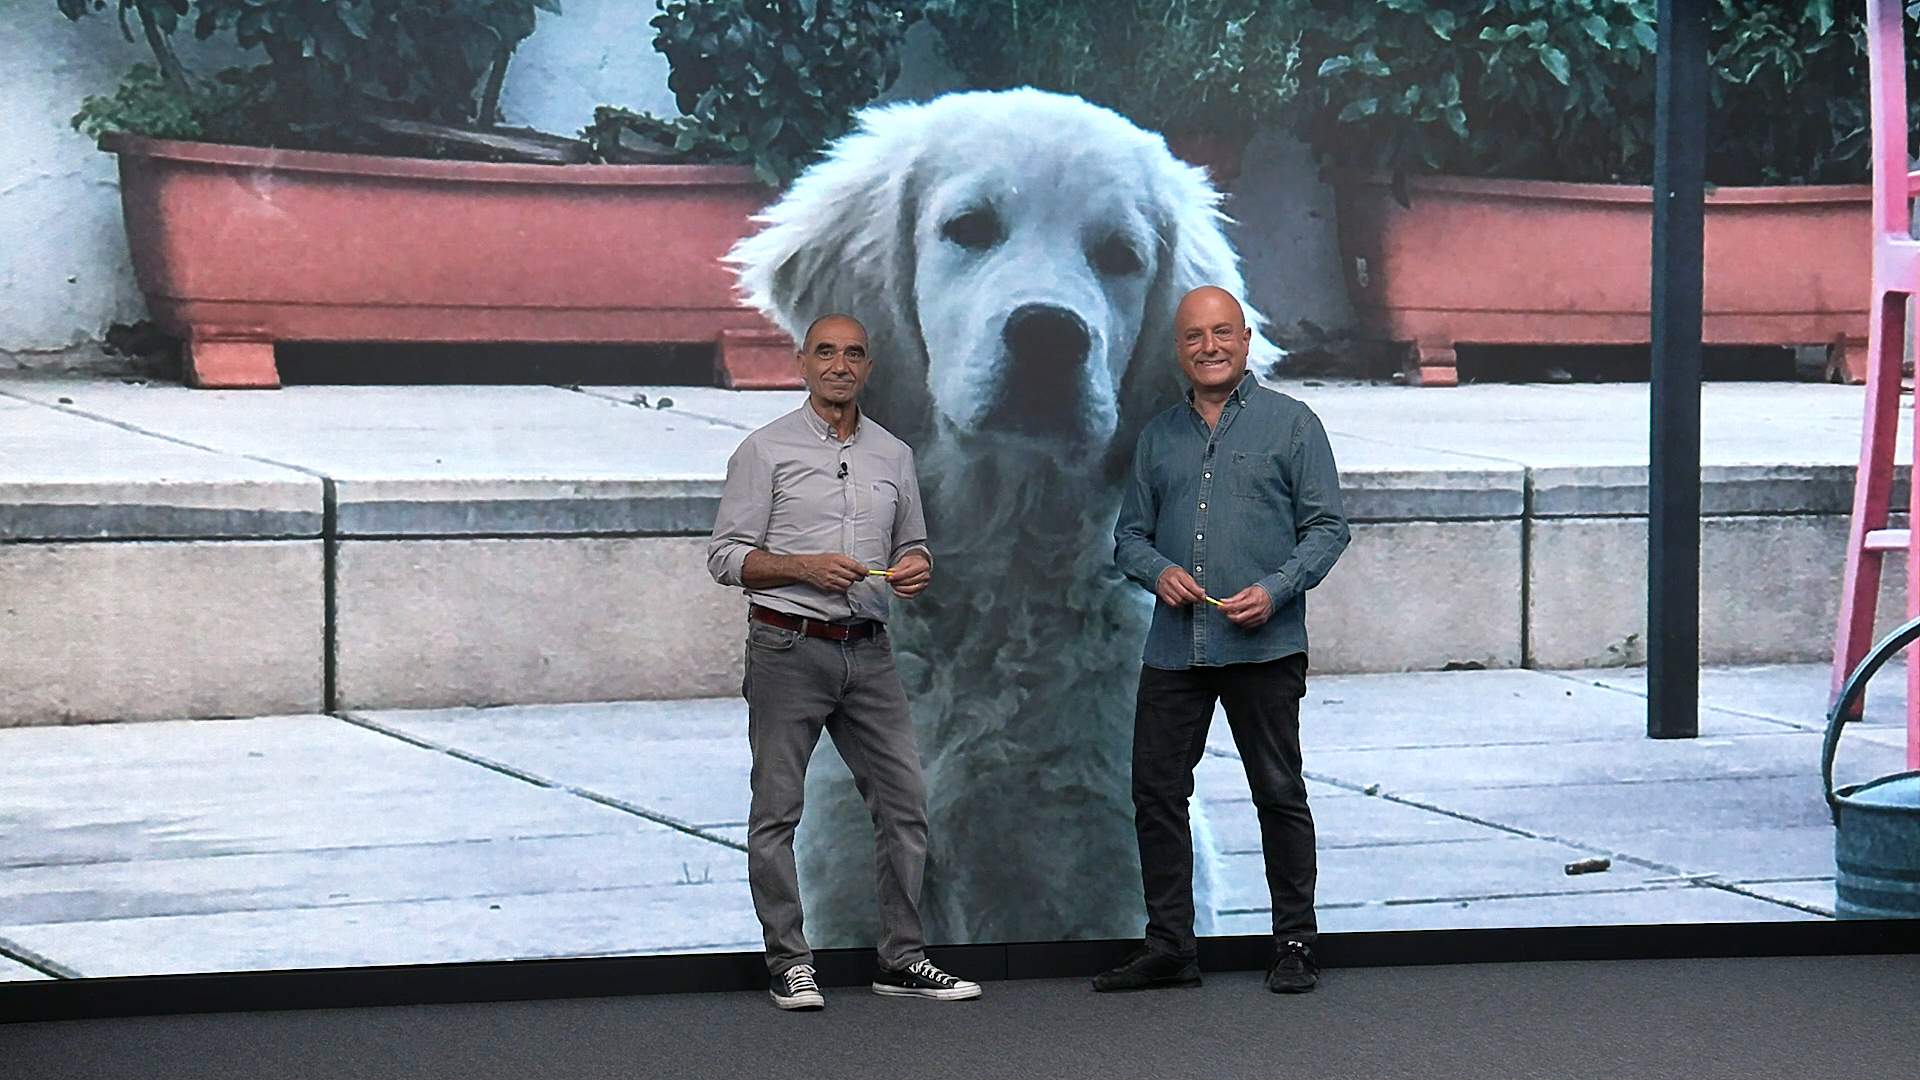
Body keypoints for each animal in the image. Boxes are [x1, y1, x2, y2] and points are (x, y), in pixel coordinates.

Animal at [721, 88, 1274, 945]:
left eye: (1119, 255)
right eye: (970, 227)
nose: (1049, 334)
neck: (1001, 575)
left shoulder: (1111, 866)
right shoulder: (844, 870)